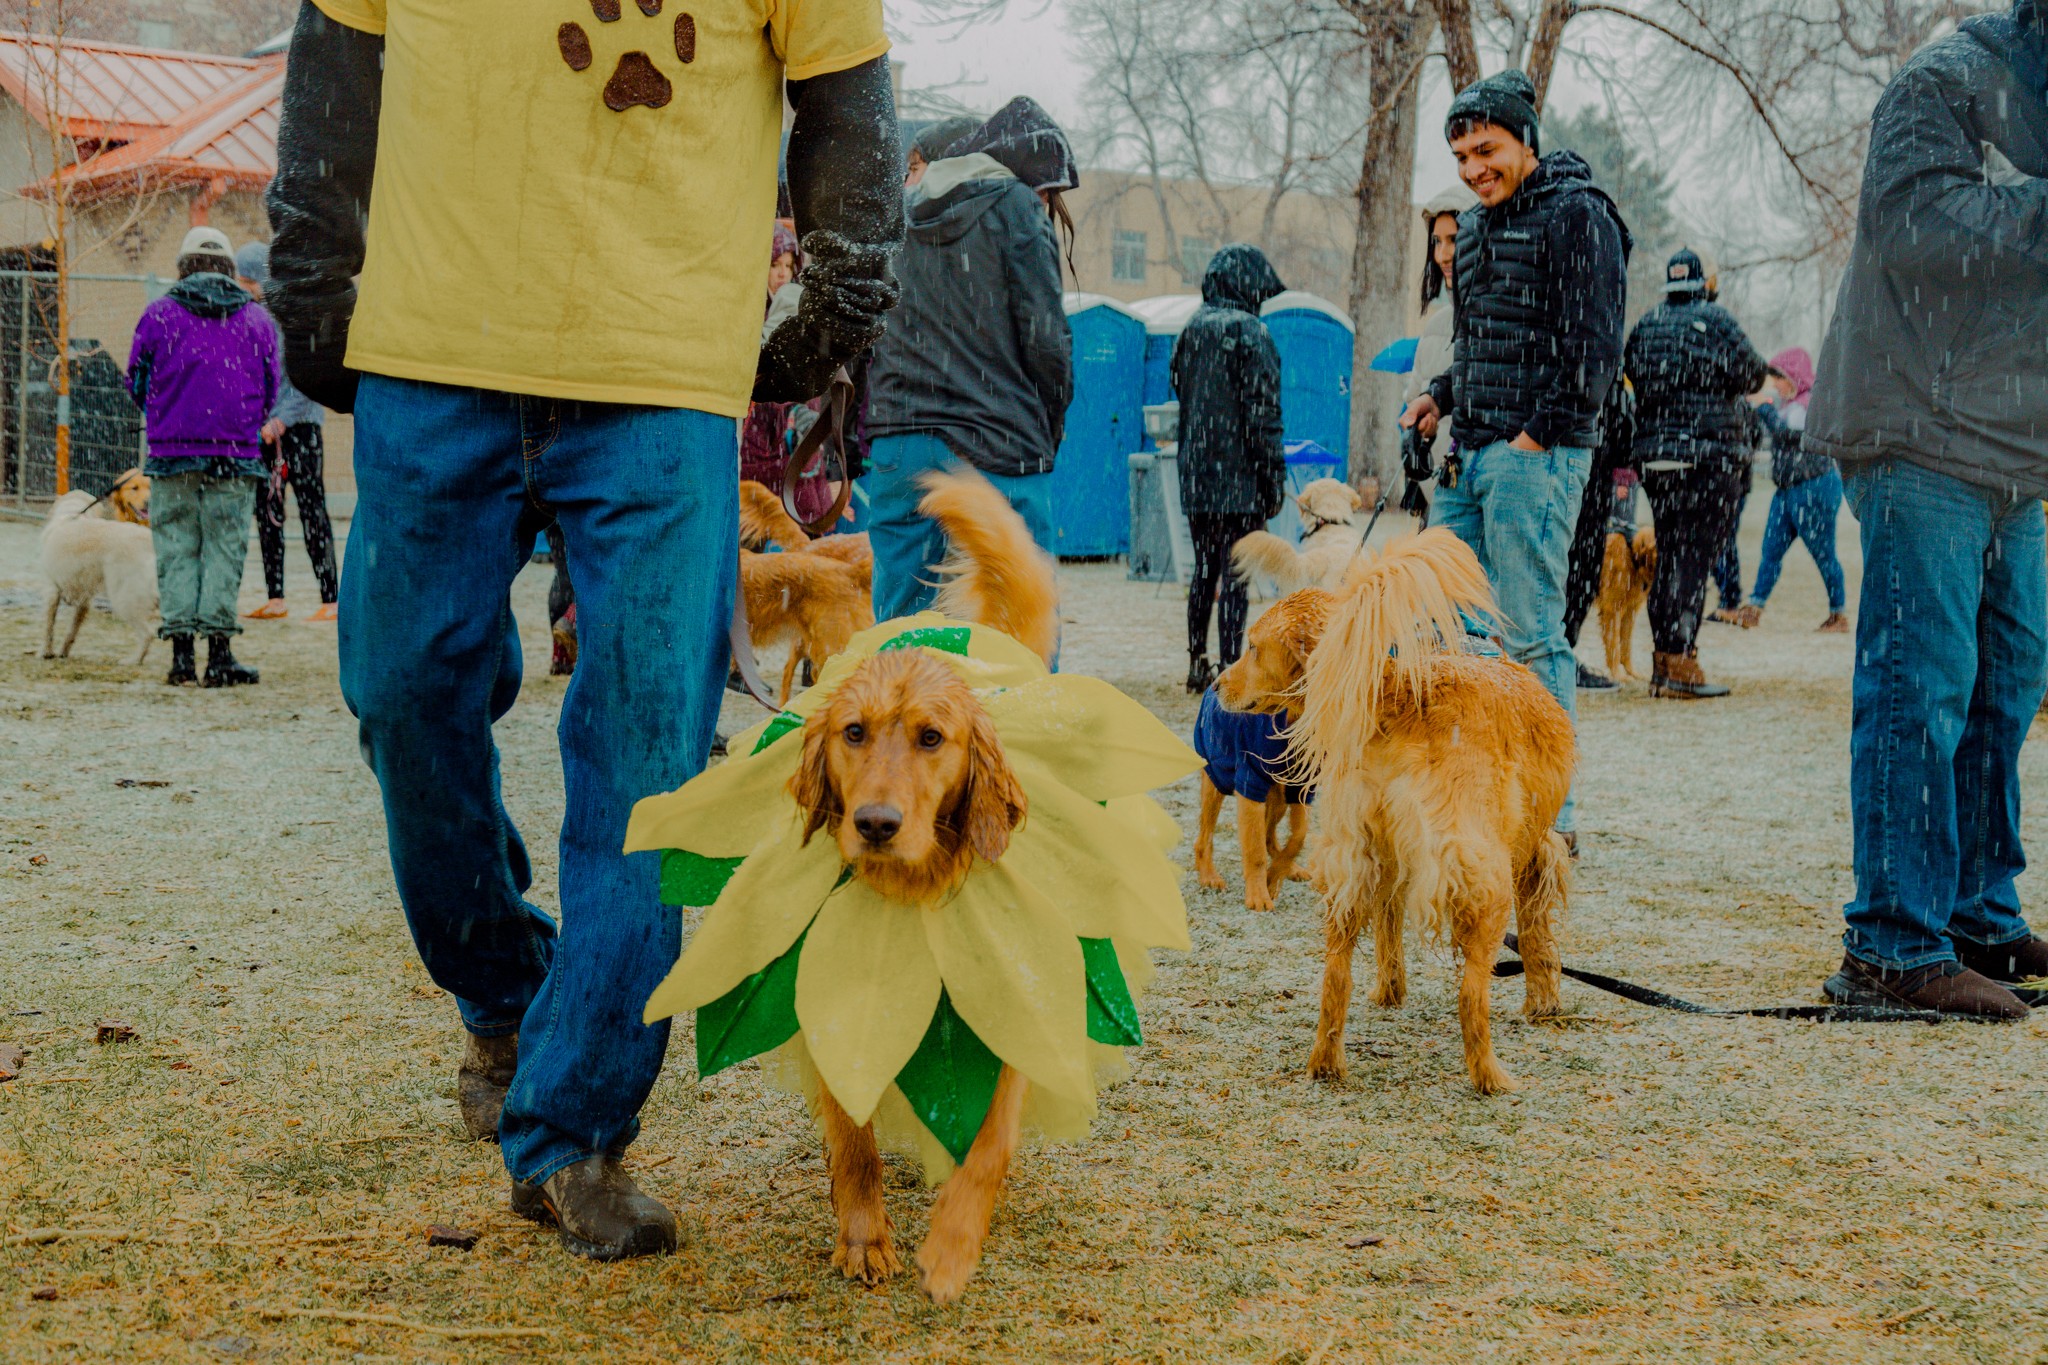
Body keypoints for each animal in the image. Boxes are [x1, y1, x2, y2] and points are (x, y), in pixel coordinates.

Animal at [41, 491, 158, 667]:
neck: (71, 514)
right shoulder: (84, 602)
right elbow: (71, 631)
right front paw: (63, 652)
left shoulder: (52, 590)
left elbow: (49, 628)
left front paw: (46, 653)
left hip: (124, 599)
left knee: (148, 633)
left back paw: (132, 660)